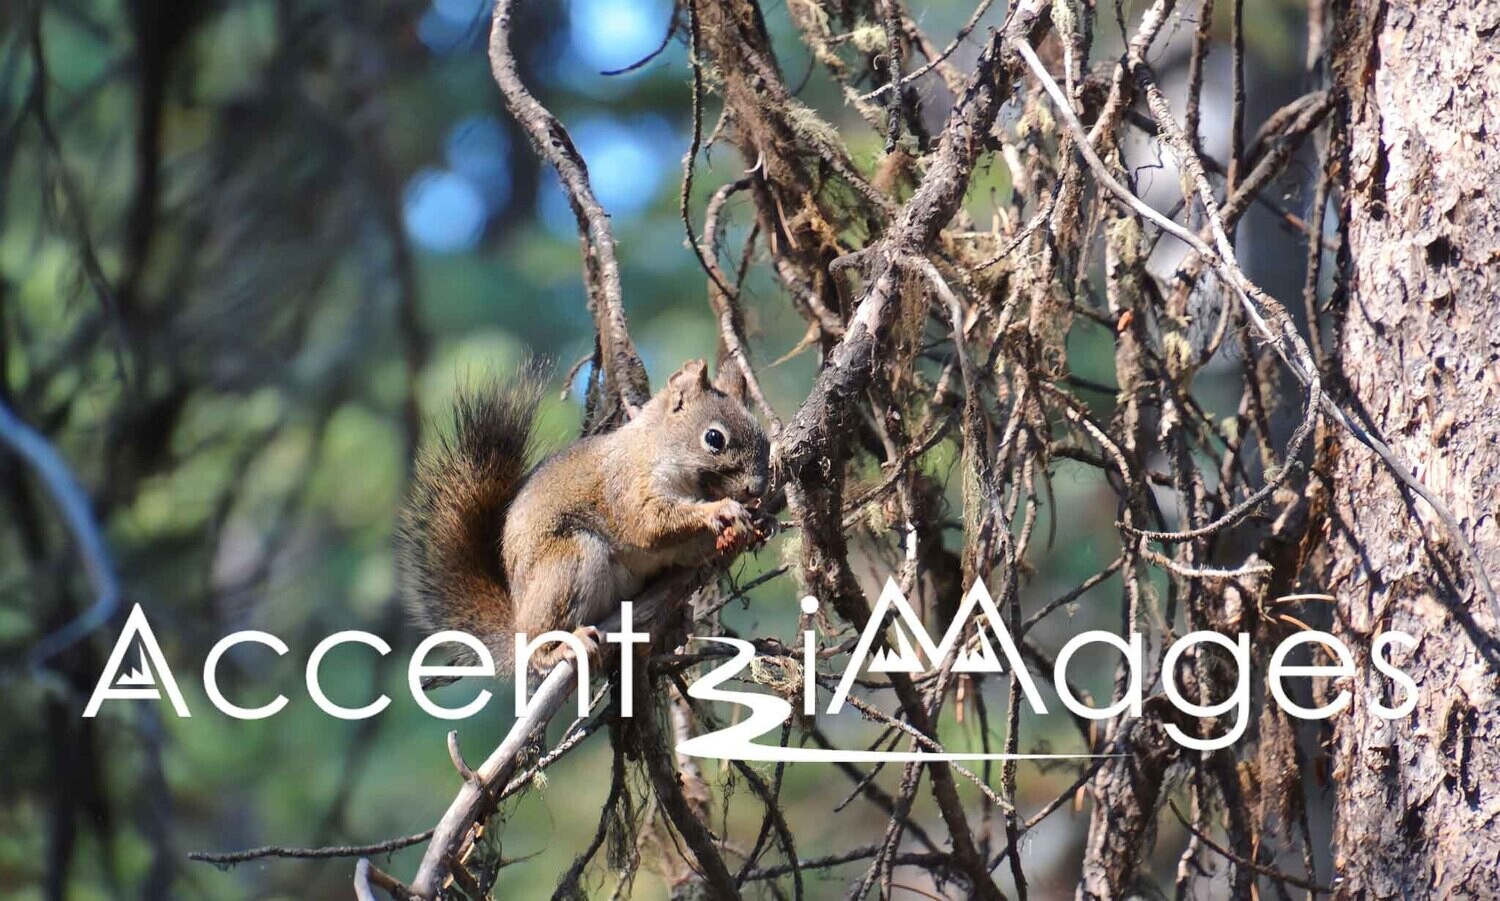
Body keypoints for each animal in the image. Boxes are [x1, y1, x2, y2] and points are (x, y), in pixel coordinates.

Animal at [397, 359, 770, 673]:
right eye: (714, 438)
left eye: (766, 440)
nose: (758, 488)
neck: (655, 447)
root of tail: (517, 620)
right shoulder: (626, 487)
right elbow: (649, 525)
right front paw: (721, 510)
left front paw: (761, 522)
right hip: (568, 562)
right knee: (538, 641)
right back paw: (558, 649)